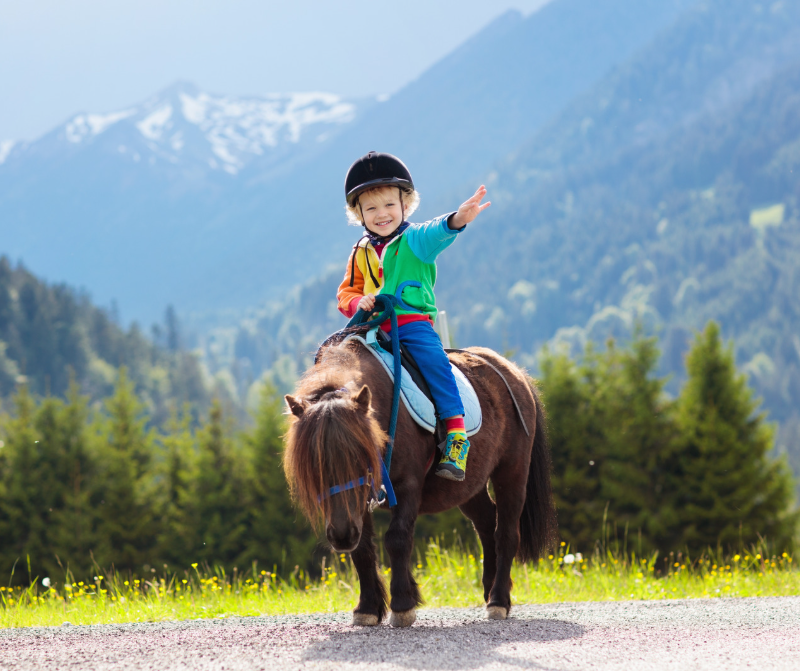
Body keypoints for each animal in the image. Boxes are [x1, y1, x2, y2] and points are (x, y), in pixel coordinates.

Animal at [283, 338, 557, 627]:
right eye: (312, 463)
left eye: (360, 456)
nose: (342, 535)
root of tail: (516, 373)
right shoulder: (357, 504)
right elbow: (363, 550)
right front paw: (368, 607)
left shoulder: (407, 487)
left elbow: (397, 539)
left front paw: (403, 604)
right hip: (469, 488)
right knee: (486, 523)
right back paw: (489, 589)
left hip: (512, 472)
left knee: (506, 533)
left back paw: (498, 600)